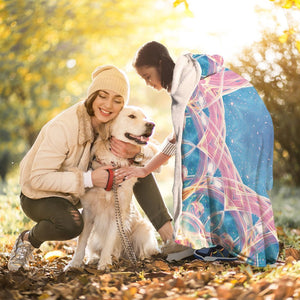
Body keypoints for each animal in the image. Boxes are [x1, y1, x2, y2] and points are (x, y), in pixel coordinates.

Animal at [65, 106, 159, 270]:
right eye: (131, 116)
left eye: (145, 117)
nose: (151, 125)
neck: (113, 165)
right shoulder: (88, 212)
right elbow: (82, 241)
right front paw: (74, 263)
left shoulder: (118, 211)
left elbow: (109, 239)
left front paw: (104, 263)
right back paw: (94, 259)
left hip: (143, 228)